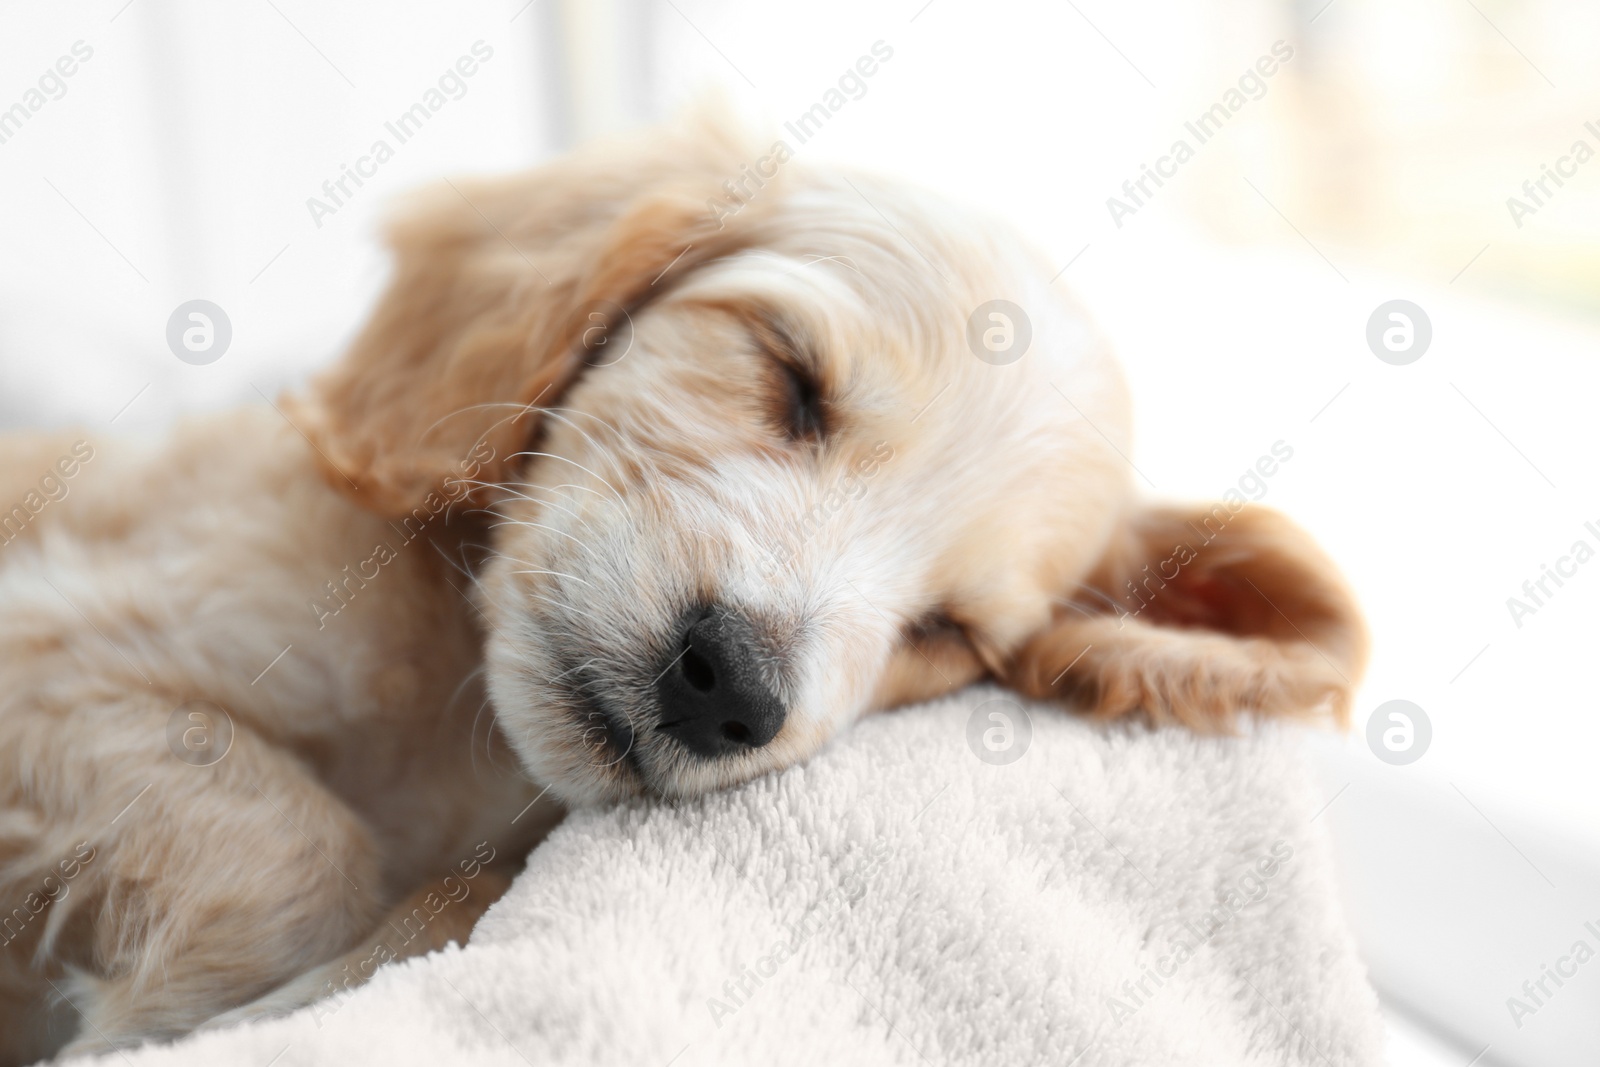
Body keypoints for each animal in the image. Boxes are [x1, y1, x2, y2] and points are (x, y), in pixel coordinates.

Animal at [0, 110, 1363, 1062]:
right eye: (791, 379)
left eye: (946, 632)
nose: (728, 693)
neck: (451, 727)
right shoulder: (53, 648)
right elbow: (299, 837)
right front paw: (159, 1018)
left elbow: (410, 891)